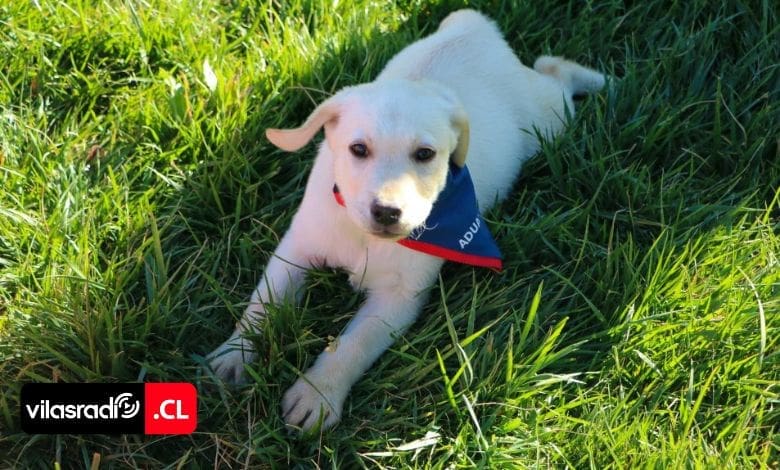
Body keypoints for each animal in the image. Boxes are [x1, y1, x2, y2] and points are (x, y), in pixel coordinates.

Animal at [207, 9, 605, 431]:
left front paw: (318, 393)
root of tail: (475, 26)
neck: (363, 236)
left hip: (548, 119)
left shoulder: (397, 297)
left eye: (425, 154)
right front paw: (235, 353)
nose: (387, 212)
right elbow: (262, 303)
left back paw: (595, 79)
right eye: (358, 149)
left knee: (555, 73)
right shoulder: (296, 250)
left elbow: (352, 345)